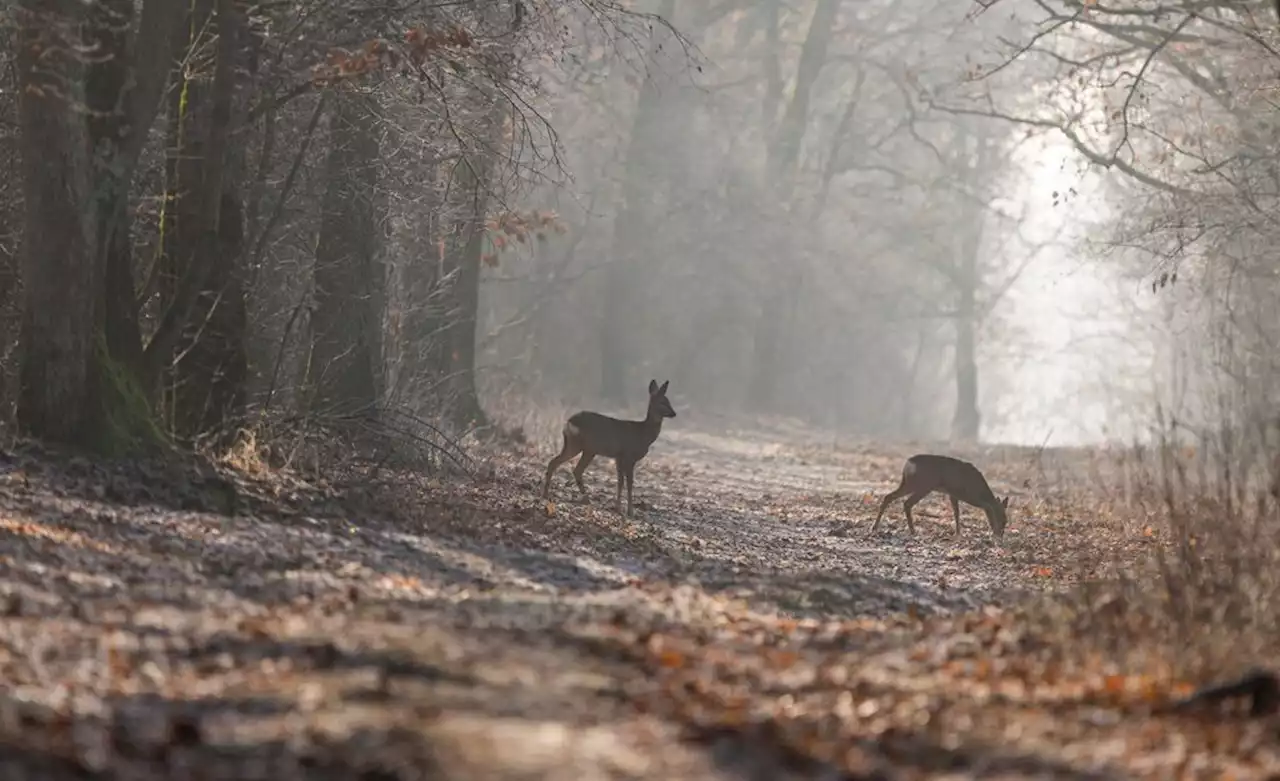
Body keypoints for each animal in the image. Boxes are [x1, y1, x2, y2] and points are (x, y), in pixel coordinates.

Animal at [542, 378, 675, 517]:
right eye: (662, 402)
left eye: (668, 401)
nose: (674, 413)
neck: (643, 434)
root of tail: (569, 422)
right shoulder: (629, 455)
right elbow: (629, 483)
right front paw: (630, 511)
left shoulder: (618, 457)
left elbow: (620, 482)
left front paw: (618, 508)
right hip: (582, 446)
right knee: (569, 467)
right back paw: (581, 498)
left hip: (578, 446)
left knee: (560, 464)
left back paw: (550, 495)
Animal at [870, 453, 1008, 537]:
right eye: (1004, 519)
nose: (1001, 533)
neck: (979, 488)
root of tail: (908, 464)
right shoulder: (966, 493)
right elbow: (986, 506)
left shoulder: (953, 494)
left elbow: (956, 513)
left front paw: (958, 533)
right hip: (923, 485)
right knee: (907, 503)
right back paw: (913, 531)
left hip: (909, 483)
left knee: (889, 496)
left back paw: (875, 527)